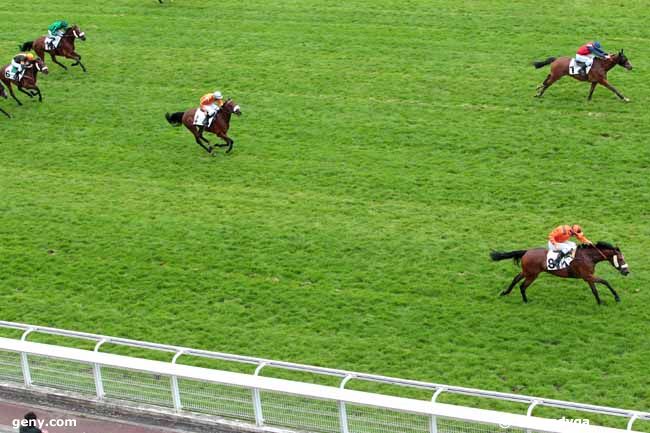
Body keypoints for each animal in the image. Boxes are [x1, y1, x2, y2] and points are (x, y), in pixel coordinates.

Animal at [492, 241, 628, 306]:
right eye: (621, 259)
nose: (627, 271)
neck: (588, 257)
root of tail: (526, 251)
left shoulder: (588, 277)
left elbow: (594, 290)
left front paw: (600, 302)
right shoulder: (588, 276)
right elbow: (605, 281)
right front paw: (617, 297)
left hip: (526, 272)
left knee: (516, 279)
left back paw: (505, 292)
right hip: (532, 274)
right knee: (522, 286)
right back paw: (525, 301)